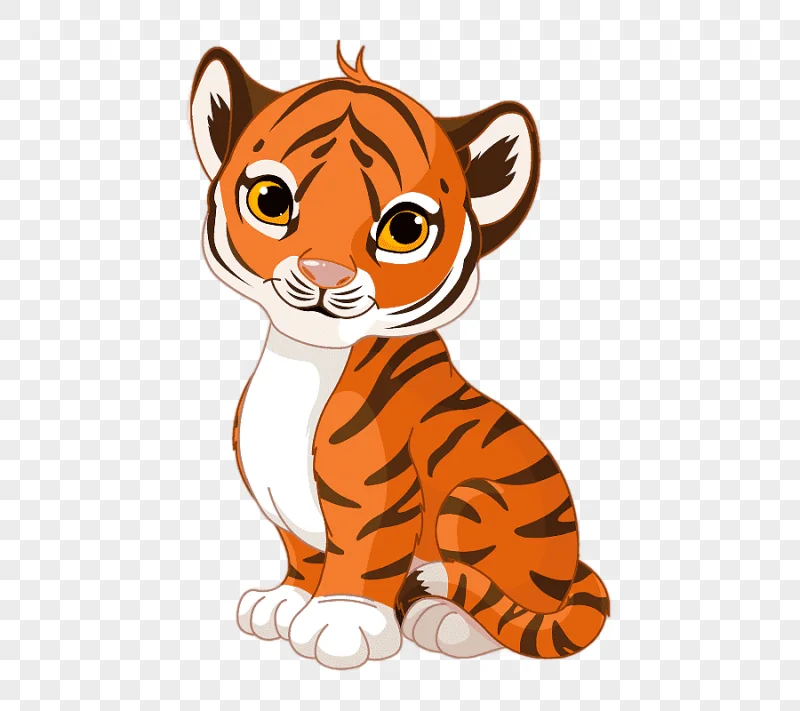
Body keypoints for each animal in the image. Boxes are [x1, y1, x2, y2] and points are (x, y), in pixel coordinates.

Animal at [189, 44, 609, 669]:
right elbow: (303, 555)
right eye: (271, 201)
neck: (305, 359)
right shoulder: (280, 499)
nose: (324, 274)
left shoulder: (378, 490)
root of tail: (572, 565)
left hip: (472, 501)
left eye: (404, 228)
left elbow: (361, 559)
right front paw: (284, 603)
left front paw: (339, 624)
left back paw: (447, 621)